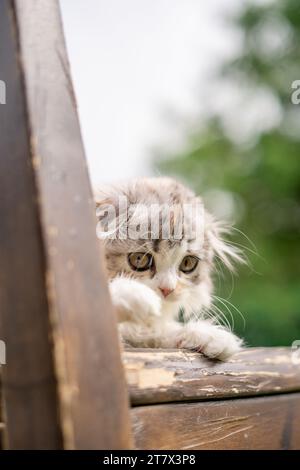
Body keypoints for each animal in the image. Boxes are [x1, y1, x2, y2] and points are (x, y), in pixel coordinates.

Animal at [95, 176, 244, 360]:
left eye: (187, 263)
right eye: (139, 259)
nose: (167, 290)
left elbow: (156, 332)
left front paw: (211, 337)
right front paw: (133, 294)